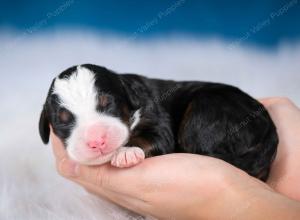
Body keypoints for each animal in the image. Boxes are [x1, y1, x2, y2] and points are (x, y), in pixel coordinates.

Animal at [38, 63, 278, 180]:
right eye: (63, 121)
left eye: (109, 104)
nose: (97, 141)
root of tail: (270, 134)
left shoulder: (158, 122)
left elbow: (152, 138)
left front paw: (126, 152)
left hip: (206, 110)